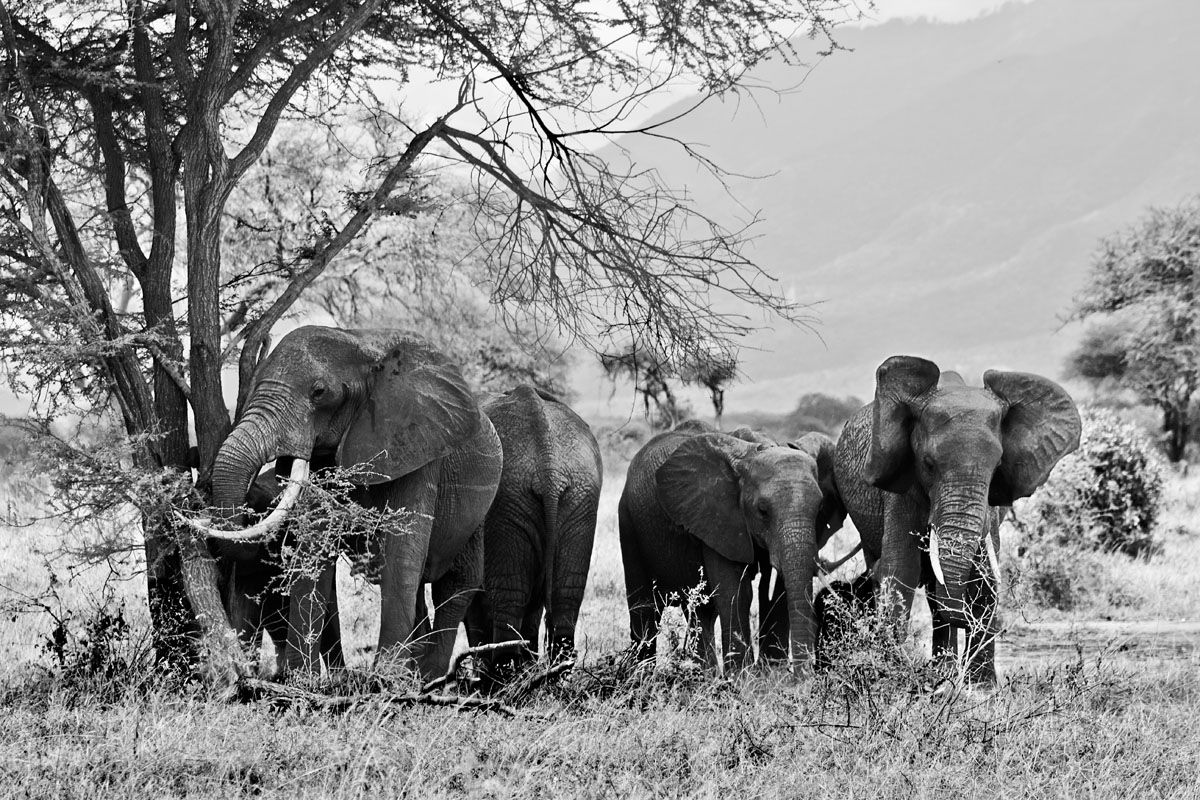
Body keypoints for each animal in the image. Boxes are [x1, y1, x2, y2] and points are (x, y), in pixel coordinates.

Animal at [196, 326, 503, 680]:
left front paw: (387, 679)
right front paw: (300, 679)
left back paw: (428, 677)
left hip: (479, 509)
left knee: (455, 585)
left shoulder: (417, 447)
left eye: (319, 392)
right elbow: (315, 543)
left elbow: (403, 551)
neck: (365, 346)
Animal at [618, 420, 846, 674]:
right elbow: (736, 591)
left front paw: (773, 675)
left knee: (701, 611)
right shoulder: (716, 517)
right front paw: (744, 677)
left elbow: (778, 588)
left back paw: (705, 675)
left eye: (820, 508)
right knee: (644, 610)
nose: (804, 676)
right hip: (628, 521)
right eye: (762, 511)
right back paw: (642, 675)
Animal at [833, 356, 1081, 685]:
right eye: (927, 464)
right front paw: (892, 676)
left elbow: (985, 577)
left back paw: (945, 672)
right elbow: (901, 570)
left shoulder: (989, 508)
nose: (964, 619)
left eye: (997, 467)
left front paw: (983, 687)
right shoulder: (902, 490)